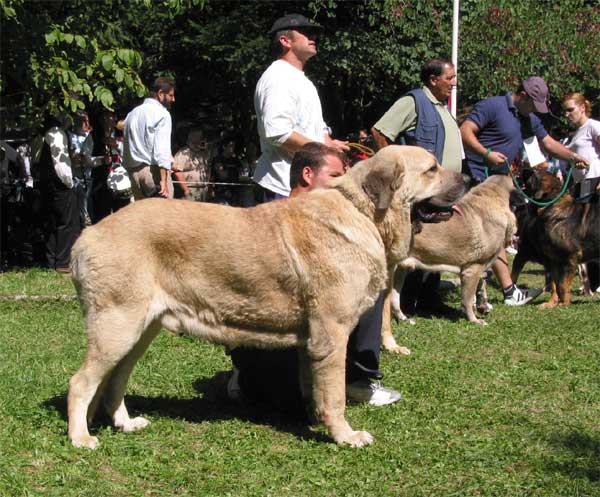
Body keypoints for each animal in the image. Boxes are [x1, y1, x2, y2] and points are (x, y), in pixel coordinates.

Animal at [68, 144, 466, 450]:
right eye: (432, 169)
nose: (466, 179)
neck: (364, 212)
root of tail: (86, 236)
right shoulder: (333, 332)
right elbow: (335, 393)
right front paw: (345, 435)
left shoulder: (314, 342)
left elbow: (314, 388)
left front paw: (314, 419)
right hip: (117, 327)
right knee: (81, 382)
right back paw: (80, 438)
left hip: (139, 331)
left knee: (115, 380)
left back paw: (125, 423)